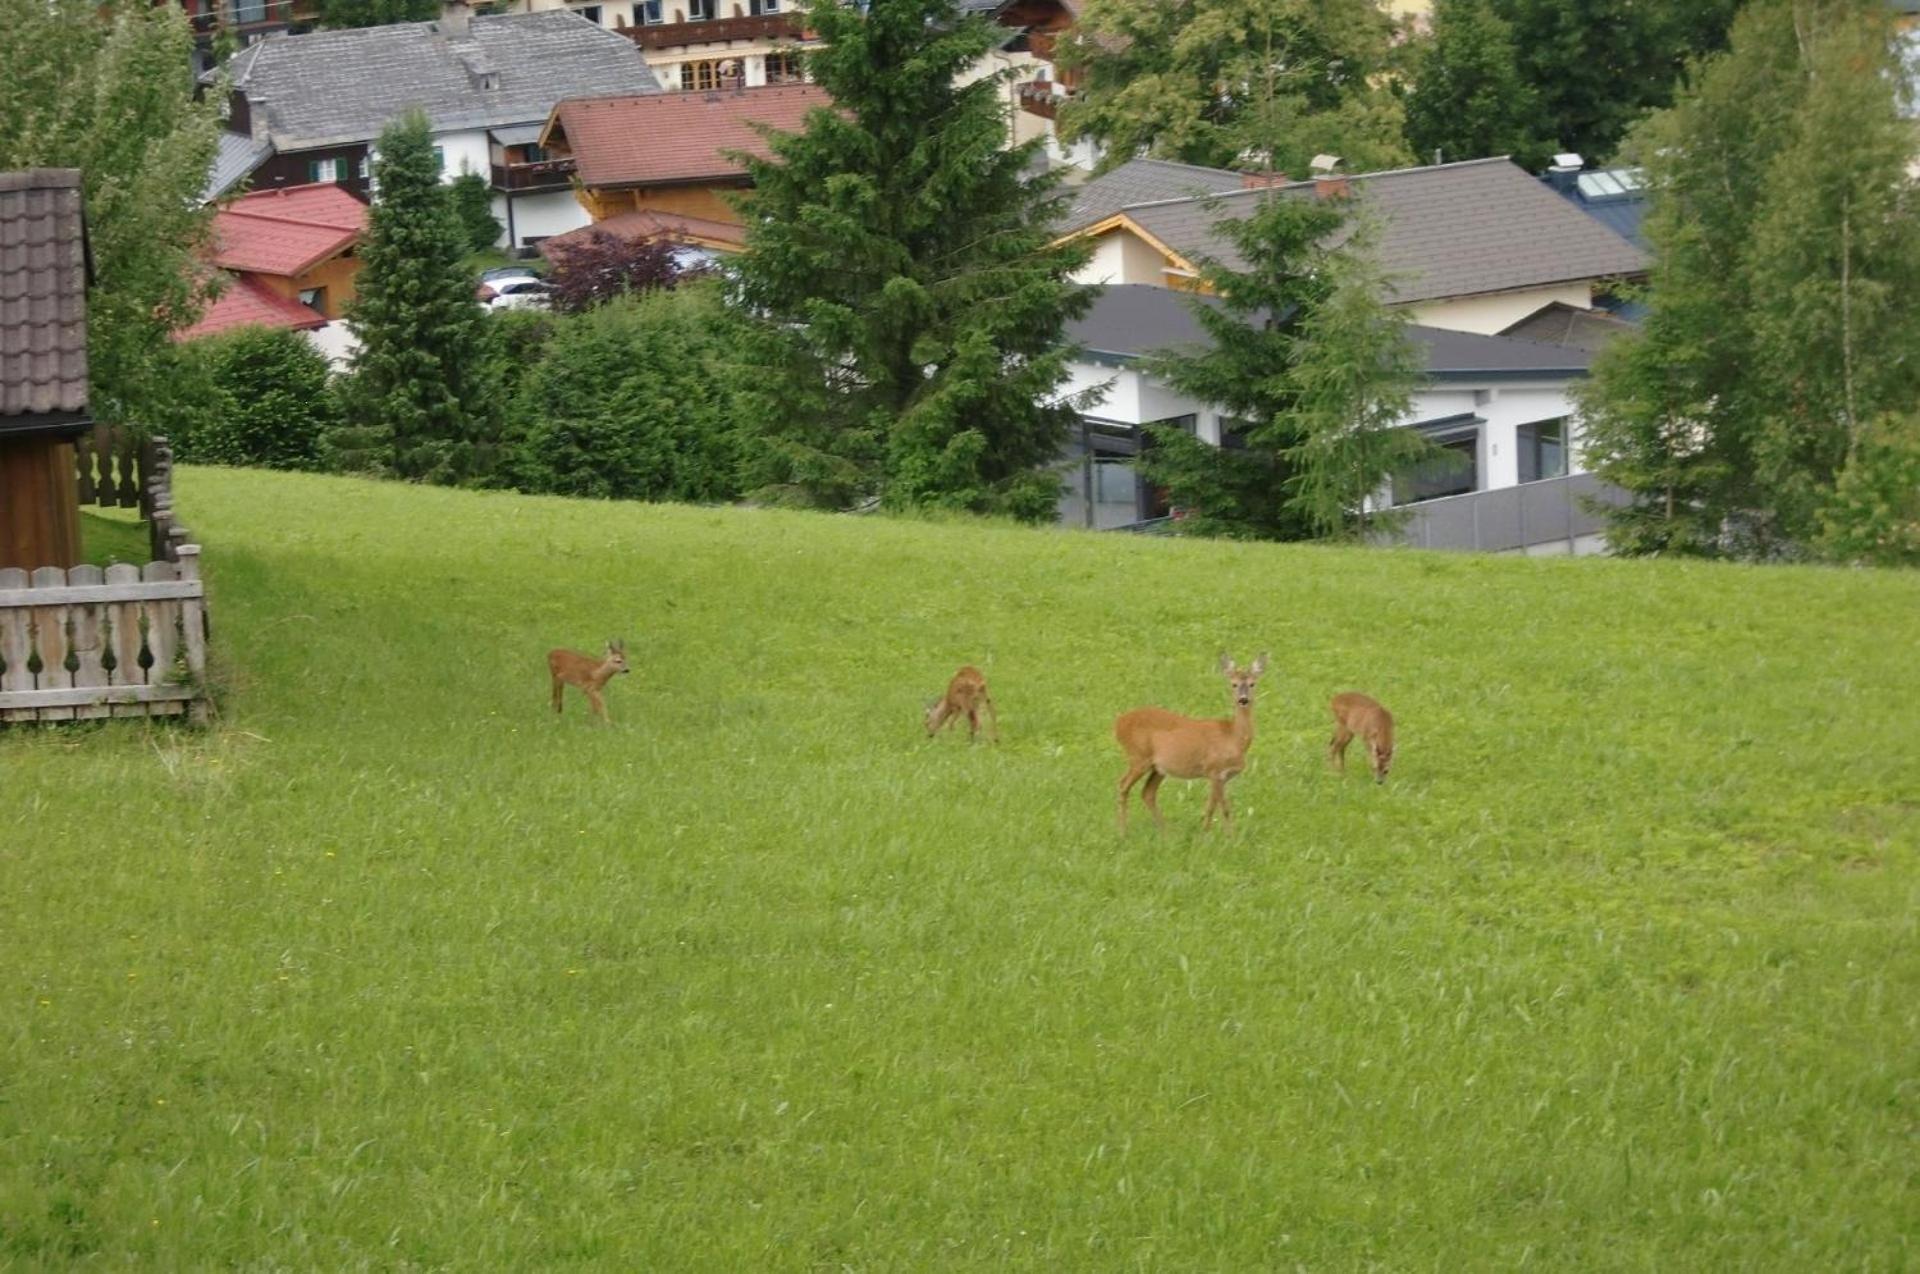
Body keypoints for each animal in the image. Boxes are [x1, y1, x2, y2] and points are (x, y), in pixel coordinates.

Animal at [1121, 648, 1267, 836]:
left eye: (1252, 684)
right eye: (1233, 684)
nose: (1243, 699)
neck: (1233, 738)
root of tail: (1117, 724)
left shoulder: (1222, 776)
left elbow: (1218, 806)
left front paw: (1226, 836)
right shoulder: (1214, 770)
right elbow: (1217, 807)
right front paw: (1211, 836)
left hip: (1158, 767)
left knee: (1147, 792)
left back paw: (1166, 833)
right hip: (1139, 756)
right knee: (1123, 785)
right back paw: (1123, 832)